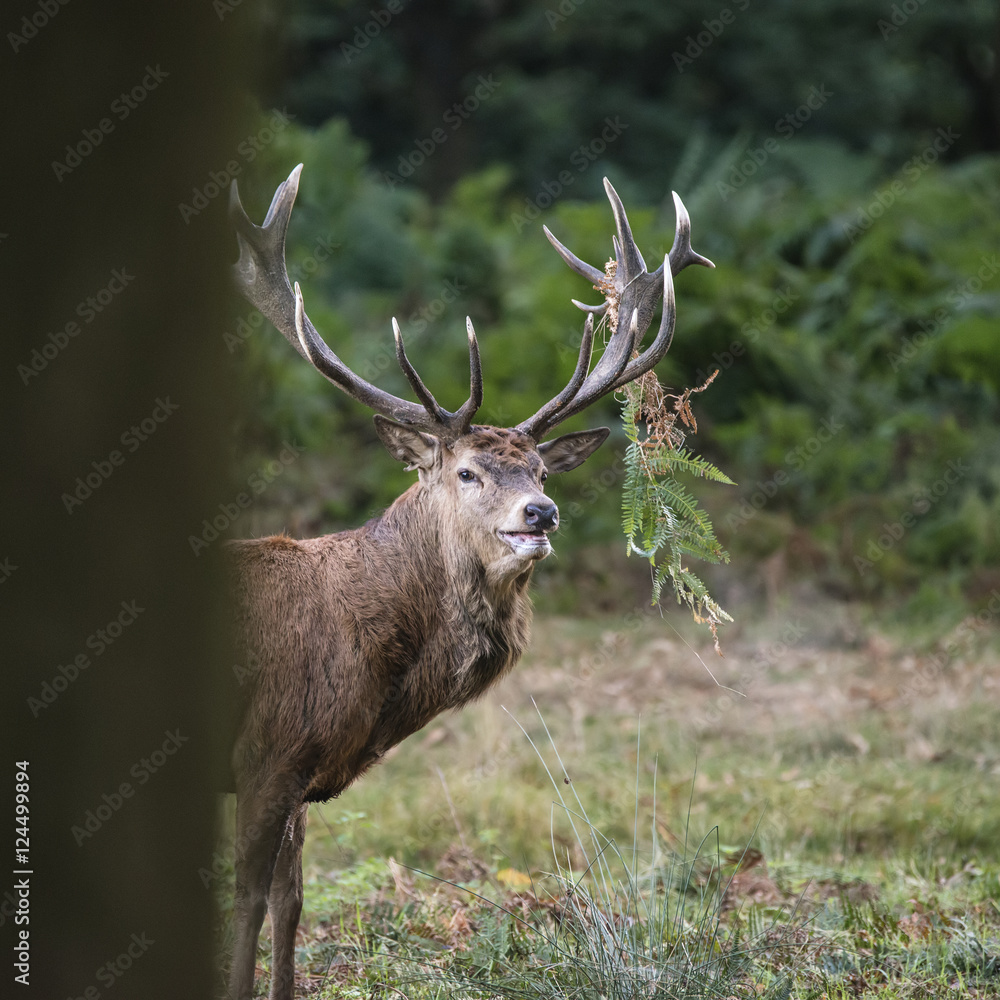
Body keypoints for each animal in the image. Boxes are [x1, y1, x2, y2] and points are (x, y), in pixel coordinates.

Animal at [224, 163, 714, 999]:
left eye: (543, 469)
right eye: (466, 471)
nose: (541, 512)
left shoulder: (295, 774)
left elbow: (291, 904)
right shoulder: (266, 752)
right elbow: (250, 902)